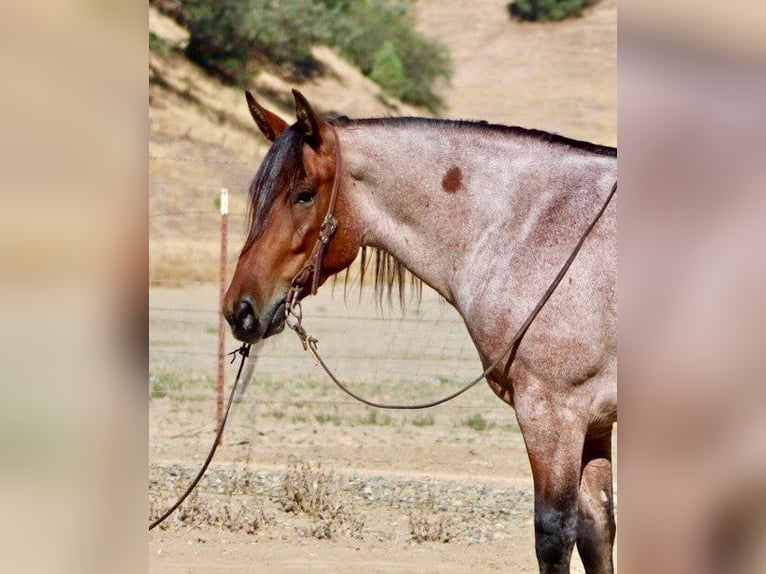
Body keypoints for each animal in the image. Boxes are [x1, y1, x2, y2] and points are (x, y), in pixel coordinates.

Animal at [223, 89, 617, 574]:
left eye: (303, 194)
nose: (239, 309)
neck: (541, 229)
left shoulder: (553, 414)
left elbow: (555, 535)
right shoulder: (594, 423)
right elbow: (597, 530)